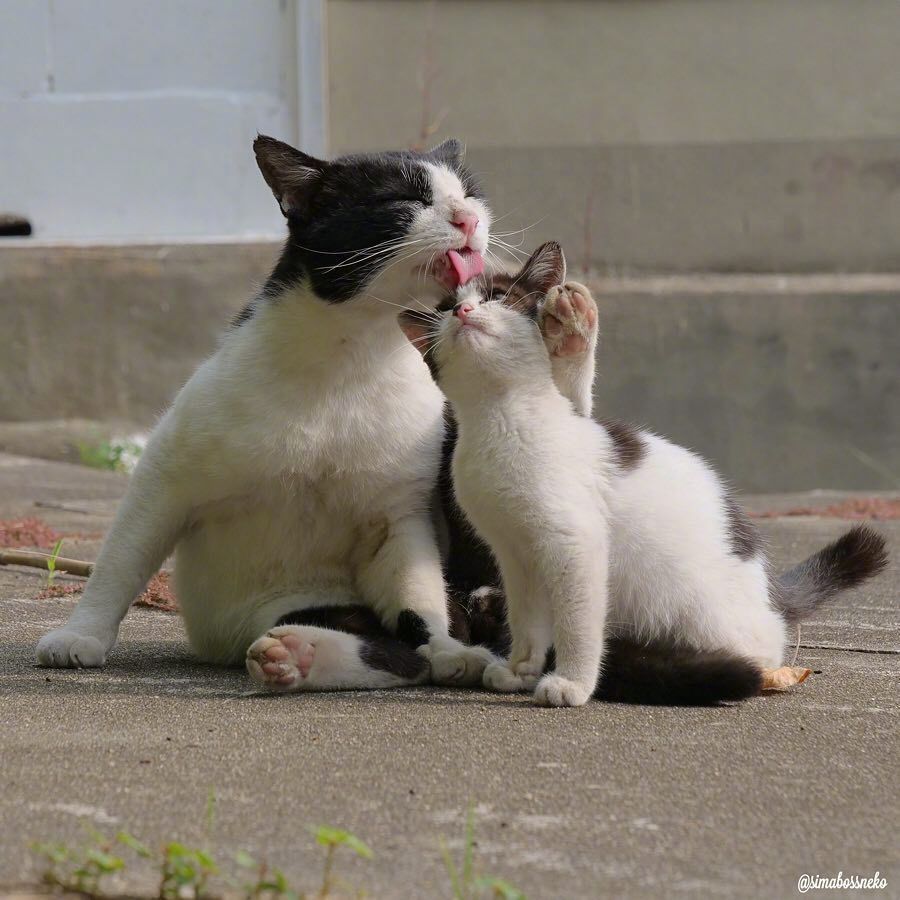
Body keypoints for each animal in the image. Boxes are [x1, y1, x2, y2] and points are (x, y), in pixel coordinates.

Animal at [35, 134, 500, 684]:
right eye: (402, 200)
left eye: (469, 195)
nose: (468, 219)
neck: (354, 354)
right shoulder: (163, 482)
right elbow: (119, 563)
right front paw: (79, 636)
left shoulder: (398, 519)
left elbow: (419, 606)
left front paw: (449, 649)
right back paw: (293, 653)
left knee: (407, 645)